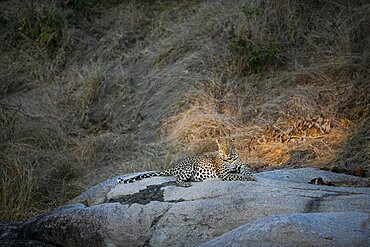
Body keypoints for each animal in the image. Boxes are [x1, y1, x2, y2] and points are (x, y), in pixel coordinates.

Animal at [117, 139, 256, 185]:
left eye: (229, 147)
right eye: (222, 148)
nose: (226, 153)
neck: (231, 158)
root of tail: (175, 165)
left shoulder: (241, 167)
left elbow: (247, 172)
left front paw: (252, 177)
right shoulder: (226, 174)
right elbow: (238, 176)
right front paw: (249, 179)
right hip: (189, 168)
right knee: (177, 180)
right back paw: (185, 184)